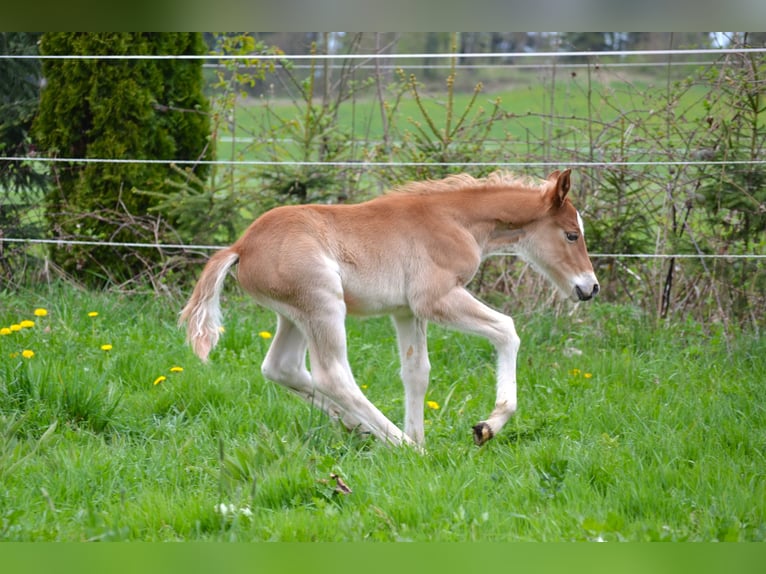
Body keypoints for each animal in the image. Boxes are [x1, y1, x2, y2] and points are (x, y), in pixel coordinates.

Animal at [180, 169, 599, 448]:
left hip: (293, 315)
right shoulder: (435, 298)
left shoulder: (406, 311)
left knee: (282, 367)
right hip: (323, 306)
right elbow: (506, 329)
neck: (454, 220)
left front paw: (423, 435)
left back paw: (363, 429)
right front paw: (487, 426)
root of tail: (240, 246)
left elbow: (416, 372)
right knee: (333, 375)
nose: (590, 288)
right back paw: (401, 445)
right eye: (571, 235)